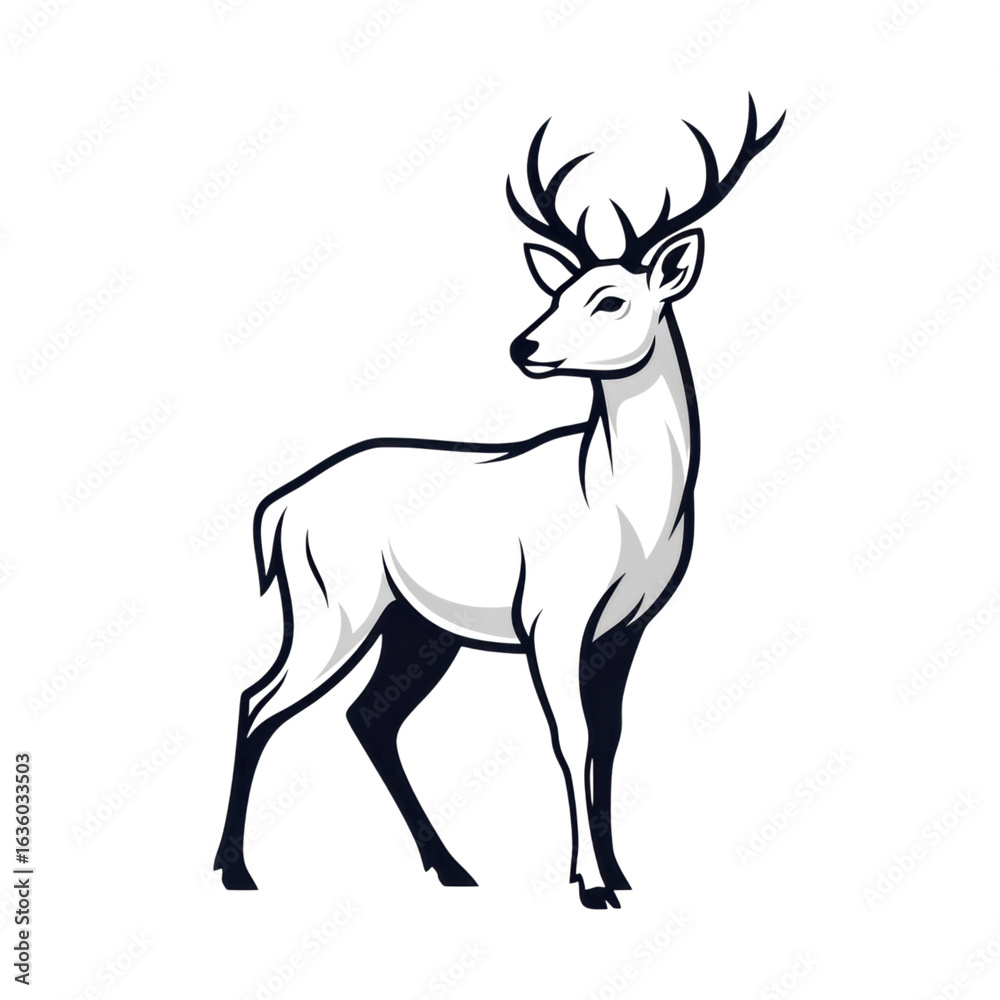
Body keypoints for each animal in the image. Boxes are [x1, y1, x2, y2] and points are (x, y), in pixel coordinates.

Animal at [214, 95, 784, 909]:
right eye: (556, 291)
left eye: (610, 297)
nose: (525, 347)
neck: (624, 506)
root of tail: (277, 509)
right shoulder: (551, 617)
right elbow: (571, 738)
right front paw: (588, 884)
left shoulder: (626, 627)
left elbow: (610, 740)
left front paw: (619, 873)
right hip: (332, 608)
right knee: (257, 701)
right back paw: (236, 871)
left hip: (414, 627)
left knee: (367, 717)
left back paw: (453, 868)